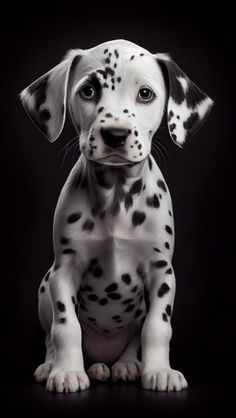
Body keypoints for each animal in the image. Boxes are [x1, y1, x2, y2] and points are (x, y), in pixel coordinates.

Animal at [19, 38, 213, 392]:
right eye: (89, 90)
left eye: (146, 94)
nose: (115, 135)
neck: (116, 197)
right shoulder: (63, 270)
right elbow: (65, 326)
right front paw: (67, 371)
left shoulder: (162, 272)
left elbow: (157, 328)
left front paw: (159, 370)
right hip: (43, 288)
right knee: (51, 337)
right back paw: (56, 365)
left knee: (133, 340)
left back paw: (125, 365)